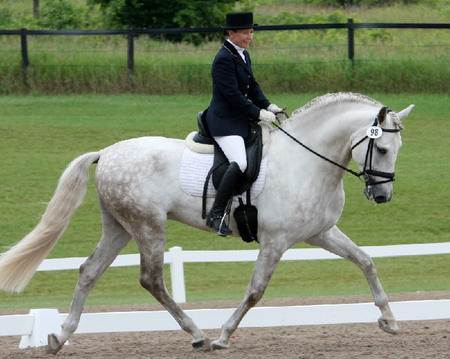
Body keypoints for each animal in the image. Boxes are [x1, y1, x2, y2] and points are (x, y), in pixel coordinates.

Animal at [0, 93, 414, 354]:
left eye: (397, 149)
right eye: (380, 148)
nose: (382, 196)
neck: (308, 161)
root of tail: (107, 152)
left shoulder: (320, 233)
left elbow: (365, 261)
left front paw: (389, 320)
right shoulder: (276, 240)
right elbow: (255, 291)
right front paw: (223, 337)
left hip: (119, 226)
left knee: (88, 271)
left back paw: (59, 337)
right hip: (149, 225)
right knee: (151, 279)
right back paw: (198, 334)